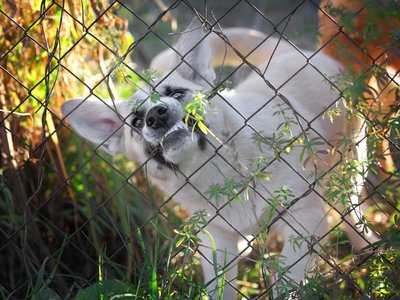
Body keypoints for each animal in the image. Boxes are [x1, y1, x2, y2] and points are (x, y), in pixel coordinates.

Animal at [61, 18, 376, 298]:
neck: (219, 172)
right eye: (136, 122)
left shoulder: (304, 218)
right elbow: (221, 288)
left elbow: (291, 278)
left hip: (348, 170)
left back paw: (369, 246)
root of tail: (291, 51)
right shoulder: (218, 243)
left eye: (177, 93)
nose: (156, 115)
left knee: (351, 212)